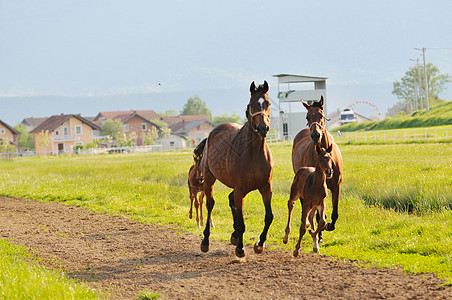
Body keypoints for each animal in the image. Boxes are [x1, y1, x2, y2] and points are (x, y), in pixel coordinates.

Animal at [200, 80, 274, 258]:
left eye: (267, 103)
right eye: (252, 104)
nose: (263, 128)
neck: (254, 153)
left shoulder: (265, 187)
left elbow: (269, 216)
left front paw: (259, 244)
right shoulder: (241, 190)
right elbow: (241, 223)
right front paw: (240, 249)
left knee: (230, 198)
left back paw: (234, 236)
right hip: (209, 179)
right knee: (210, 204)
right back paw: (205, 241)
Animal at [290, 97, 342, 240]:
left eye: (321, 115)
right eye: (307, 117)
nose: (315, 135)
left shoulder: (336, 186)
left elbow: (335, 213)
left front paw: (329, 225)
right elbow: (318, 215)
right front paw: (319, 234)